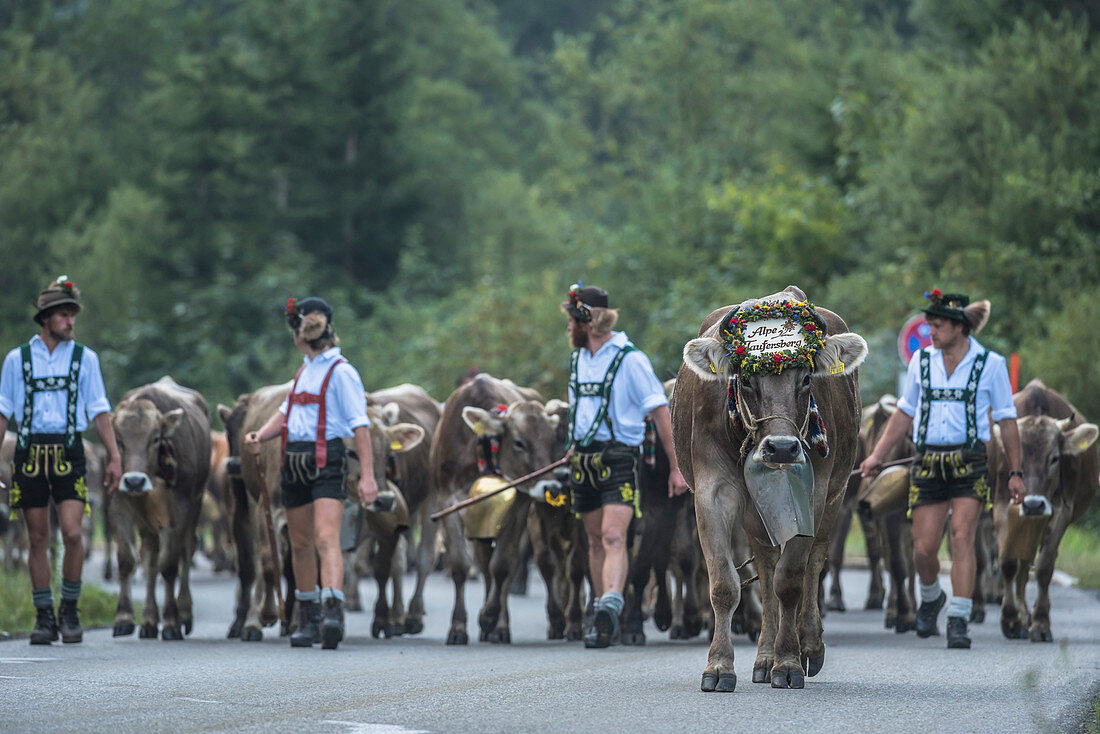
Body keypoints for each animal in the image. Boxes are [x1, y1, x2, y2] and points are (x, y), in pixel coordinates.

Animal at [111, 376, 212, 638]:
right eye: (119, 440)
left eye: (155, 438)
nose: (134, 481)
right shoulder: (118, 500)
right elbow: (127, 560)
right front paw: (124, 618)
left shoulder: (180, 508)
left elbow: (169, 565)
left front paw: (170, 622)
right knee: (149, 557)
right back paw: (147, 619)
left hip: (195, 505)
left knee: (186, 551)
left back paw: (183, 613)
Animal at [429, 376, 563, 647]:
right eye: (519, 442)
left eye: (551, 441)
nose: (551, 487)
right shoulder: (448, 503)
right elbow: (461, 564)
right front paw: (458, 627)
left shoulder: (517, 506)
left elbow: (502, 566)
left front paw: (490, 617)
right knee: (484, 563)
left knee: (518, 566)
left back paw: (501, 626)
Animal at [668, 286, 866, 691]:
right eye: (745, 380)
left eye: (805, 378)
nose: (783, 448)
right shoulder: (711, 494)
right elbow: (725, 584)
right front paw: (719, 666)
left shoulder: (813, 494)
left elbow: (790, 580)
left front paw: (788, 662)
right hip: (755, 514)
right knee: (765, 563)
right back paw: (763, 657)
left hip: (835, 495)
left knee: (812, 563)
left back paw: (808, 645)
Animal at [994, 382, 1095, 638]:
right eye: (1015, 459)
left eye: (1055, 458)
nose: (1033, 504)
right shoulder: (1000, 507)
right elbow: (1008, 562)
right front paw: (1010, 619)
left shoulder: (1062, 513)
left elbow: (1044, 566)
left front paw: (1040, 622)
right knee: (1021, 564)